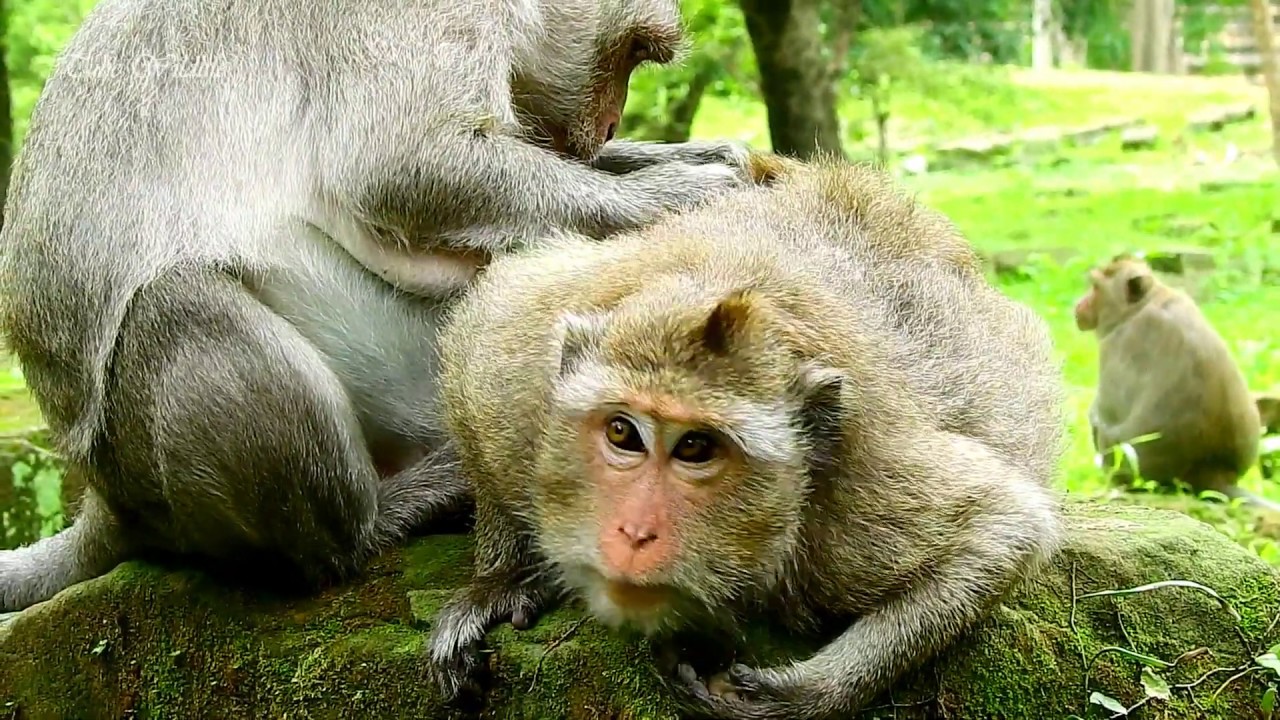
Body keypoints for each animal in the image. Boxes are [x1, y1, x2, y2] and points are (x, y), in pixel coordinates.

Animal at [0, 0, 775, 614]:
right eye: (634, 53)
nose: (612, 123)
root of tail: (107, 499)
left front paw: (704, 158)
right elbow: (402, 164)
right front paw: (682, 193)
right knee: (180, 306)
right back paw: (390, 517)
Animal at [425, 158, 1067, 718]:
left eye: (696, 448)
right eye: (622, 433)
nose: (635, 533)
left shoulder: (855, 509)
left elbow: (1002, 524)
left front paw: (805, 696)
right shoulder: (517, 387)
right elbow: (483, 331)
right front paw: (502, 579)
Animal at [1074, 254, 1278, 510]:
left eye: (1096, 287)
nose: (1079, 304)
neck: (1145, 303)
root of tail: (1213, 474)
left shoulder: (1118, 343)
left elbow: (1107, 413)